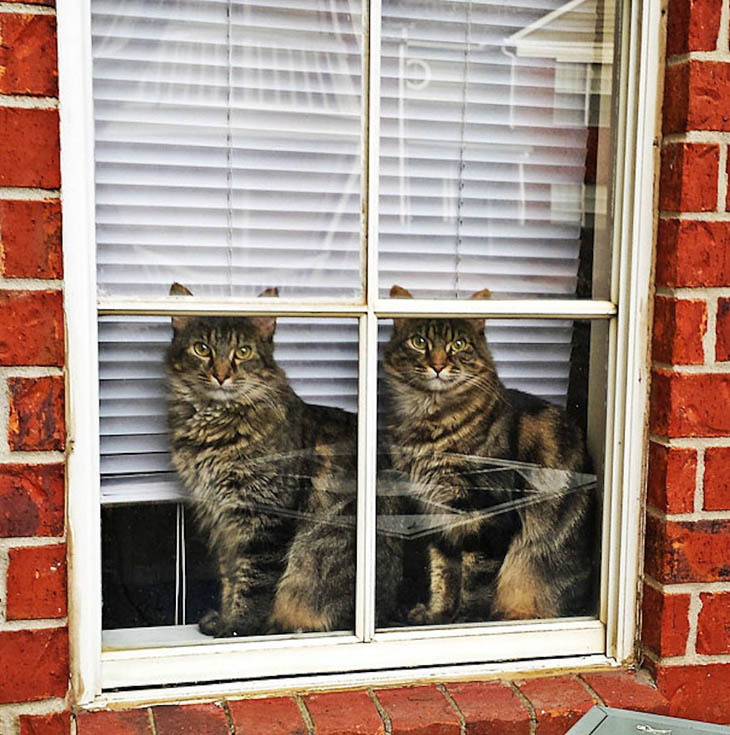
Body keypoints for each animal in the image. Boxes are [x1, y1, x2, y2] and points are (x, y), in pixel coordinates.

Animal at [165, 284, 400, 640]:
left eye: (243, 351)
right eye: (202, 348)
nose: (221, 375)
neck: (214, 427)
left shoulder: (264, 517)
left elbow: (253, 584)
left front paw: (237, 628)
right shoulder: (224, 521)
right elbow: (230, 578)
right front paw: (223, 618)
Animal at [382, 284, 592, 624]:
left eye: (458, 344)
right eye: (420, 342)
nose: (438, 365)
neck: (430, 422)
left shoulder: (487, 517)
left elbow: (474, 585)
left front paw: (464, 623)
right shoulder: (435, 514)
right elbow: (442, 576)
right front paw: (437, 616)